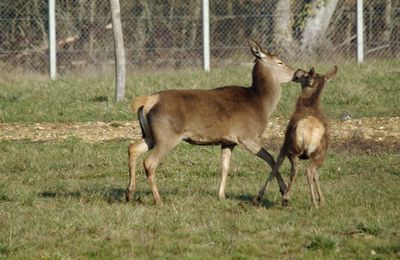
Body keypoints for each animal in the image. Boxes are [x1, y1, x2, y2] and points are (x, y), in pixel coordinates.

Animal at [126, 39, 296, 205]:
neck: (261, 104)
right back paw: (158, 200)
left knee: (132, 148)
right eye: (280, 62)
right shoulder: (247, 136)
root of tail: (148, 101)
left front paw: (221, 195)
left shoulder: (228, 141)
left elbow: (225, 166)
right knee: (149, 162)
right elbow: (271, 158)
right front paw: (283, 190)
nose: (295, 72)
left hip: (150, 135)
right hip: (167, 135)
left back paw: (130, 193)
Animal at [253, 66, 338, 207]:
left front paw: (258, 197)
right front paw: (322, 199)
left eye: (305, 75)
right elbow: (316, 176)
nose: (298, 70)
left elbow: (275, 166)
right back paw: (313, 202)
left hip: (293, 149)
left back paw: (290, 198)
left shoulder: (283, 145)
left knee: (299, 171)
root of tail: (308, 132)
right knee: (310, 171)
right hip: (318, 154)